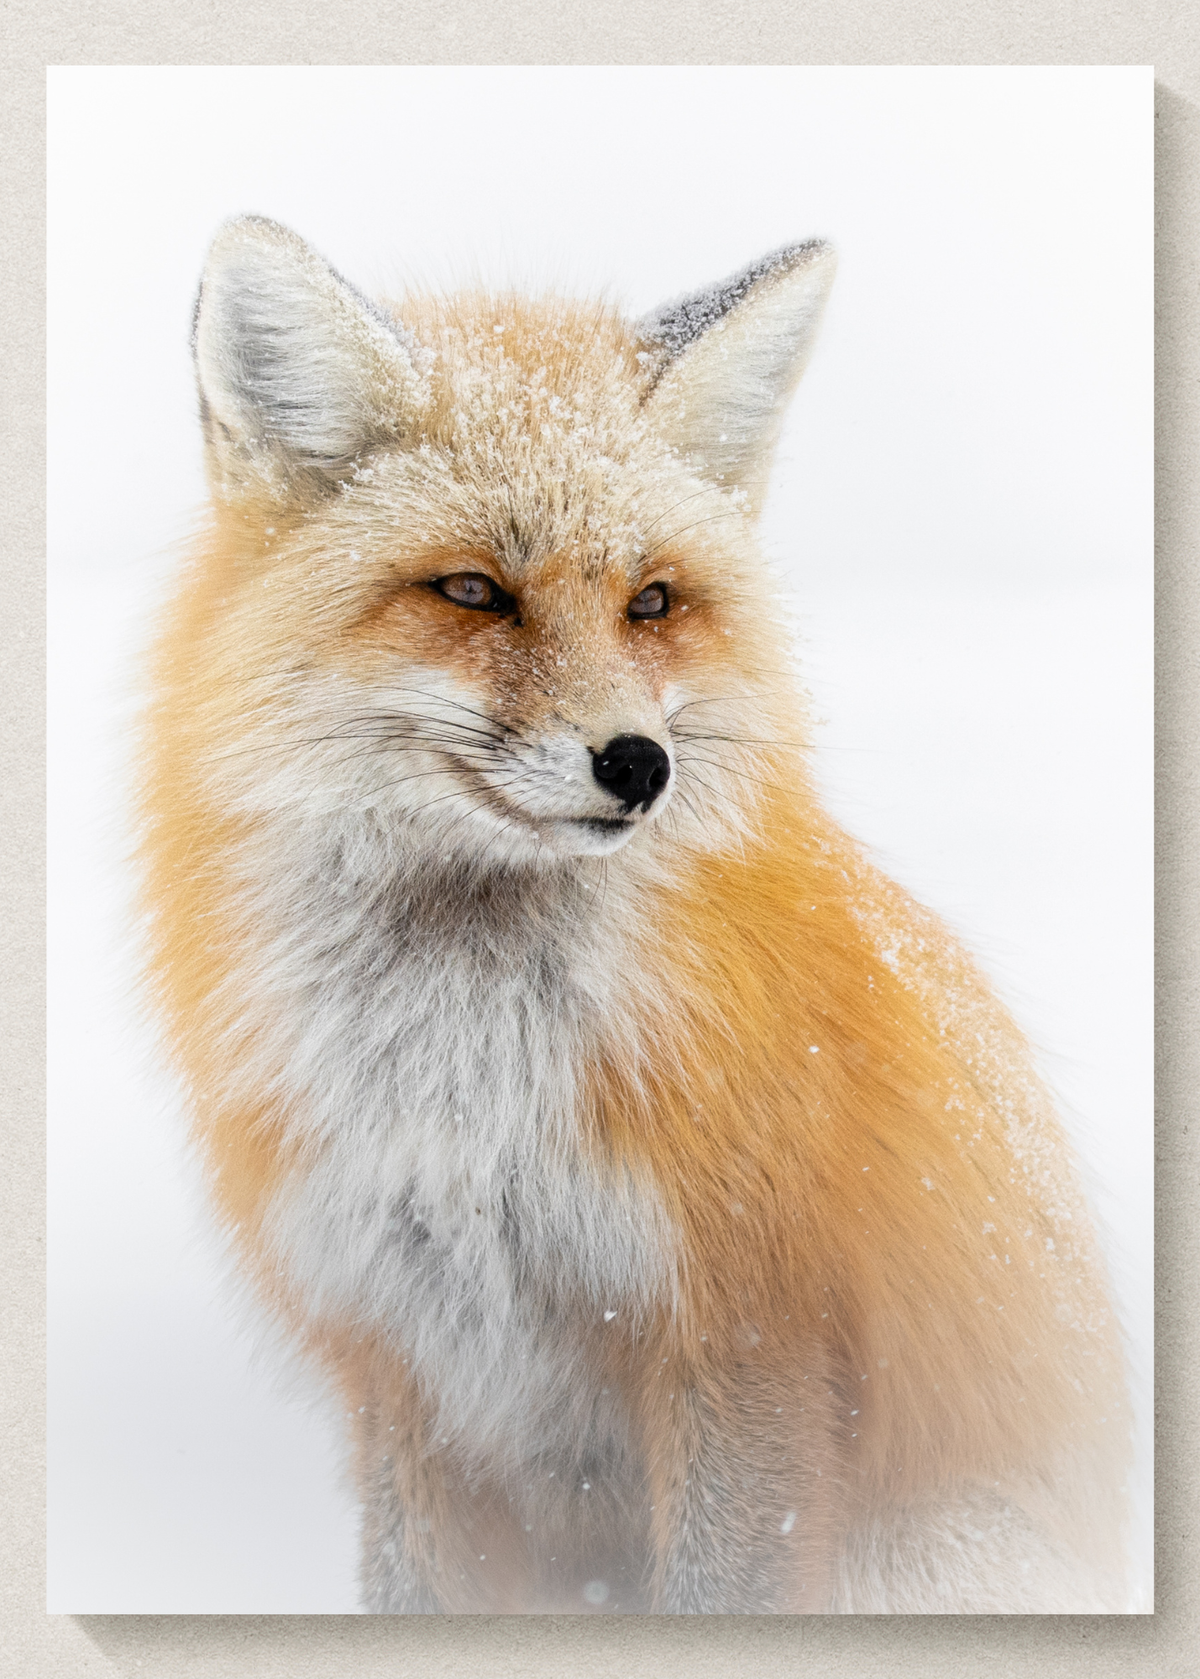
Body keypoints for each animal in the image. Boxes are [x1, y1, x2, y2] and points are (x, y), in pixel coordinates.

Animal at [138, 215, 1132, 1613]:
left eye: (651, 601)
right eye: (474, 592)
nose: (638, 764)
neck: (466, 1096)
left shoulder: (744, 1335)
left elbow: (728, 1584)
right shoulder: (406, 1356)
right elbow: (413, 1590)